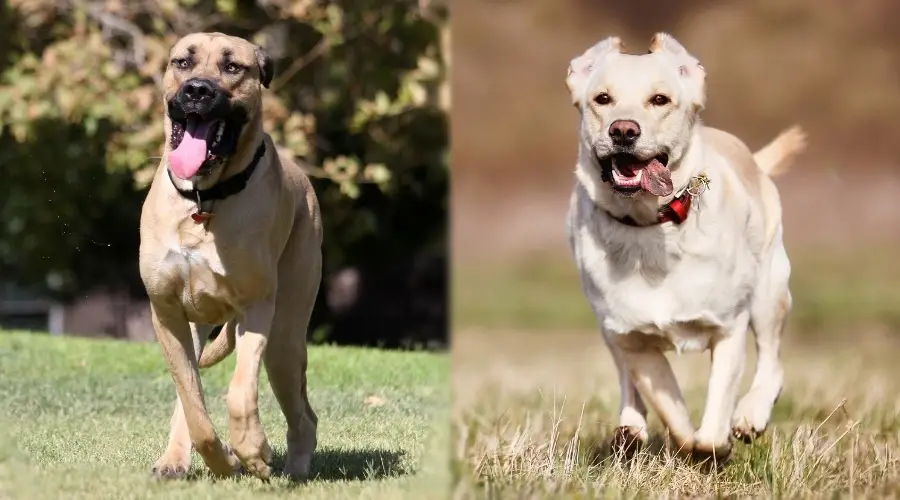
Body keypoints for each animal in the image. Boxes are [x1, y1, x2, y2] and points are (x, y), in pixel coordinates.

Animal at [139, 34, 322, 480]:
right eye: (182, 62)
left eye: (233, 68)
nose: (198, 91)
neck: (204, 199)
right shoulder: (166, 313)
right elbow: (194, 406)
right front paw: (223, 458)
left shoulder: (256, 307)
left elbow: (240, 392)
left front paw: (253, 452)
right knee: (189, 396)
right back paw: (174, 460)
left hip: (285, 339)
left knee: (304, 415)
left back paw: (296, 468)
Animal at [568, 32, 804, 460]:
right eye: (602, 99)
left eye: (660, 100)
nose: (623, 130)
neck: (649, 224)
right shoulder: (632, 339)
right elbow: (670, 408)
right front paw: (684, 443)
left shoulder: (729, 326)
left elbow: (716, 411)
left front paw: (714, 445)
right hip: (607, 328)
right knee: (626, 380)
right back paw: (630, 429)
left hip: (769, 290)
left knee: (772, 363)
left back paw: (751, 415)